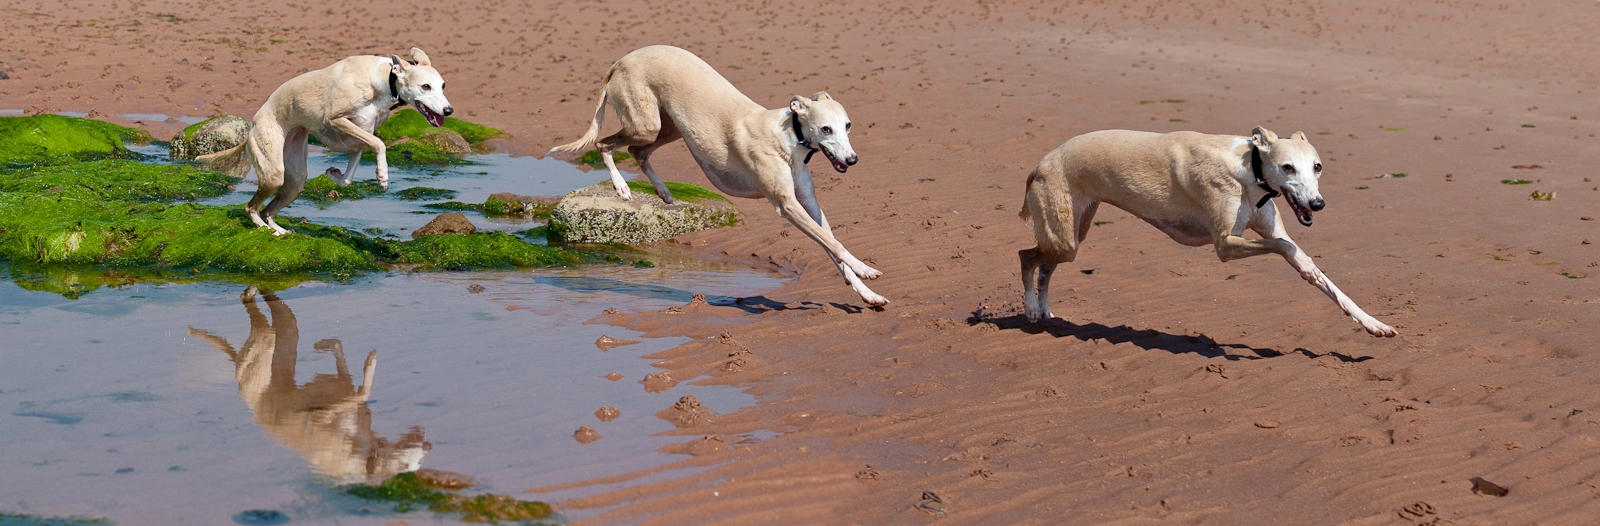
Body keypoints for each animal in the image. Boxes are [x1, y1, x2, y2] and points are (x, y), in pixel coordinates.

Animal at [200, 47, 454, 235]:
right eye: (425, 86)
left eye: (443, 85)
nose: (449, 110)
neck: (383, 79)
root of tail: (252, 126)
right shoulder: (336, 120)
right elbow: (378, 144)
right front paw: (382, 176)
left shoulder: (362, 131)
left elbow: (351, 173)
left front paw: (334, 174)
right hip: (273, 172)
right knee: (251, 207)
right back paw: (265, 228)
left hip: (295, 178)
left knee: (268, 209)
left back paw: (279, 229)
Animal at [553, 48, 896, 306]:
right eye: (826, 129)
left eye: (847, 125)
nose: (852, 160)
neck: (788, 137)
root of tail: (622, 59)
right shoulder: (787, 205)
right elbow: (834, 244)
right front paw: (867, 270)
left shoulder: (808, 202)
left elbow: (833, 247)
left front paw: (868, 294)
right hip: (646, 124)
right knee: (604, 144)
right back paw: (623, 188)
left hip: (669, 128)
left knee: (638, 152)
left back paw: (663, 192)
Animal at [1017, 126, 1395, 335]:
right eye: (1288, 167)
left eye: (1317, 166)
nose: (1317, 204)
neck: (1249, 168)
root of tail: (1040, 164)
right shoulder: (1225, 245)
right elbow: (1284, 247)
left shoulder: (1267, 230)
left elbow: (1324, 281)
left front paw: (1373, 323)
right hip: (1064, 239)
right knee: (1025, 256)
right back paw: (1032, 309)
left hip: (1073, 235)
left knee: (1045, 267)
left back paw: (1045, 310)